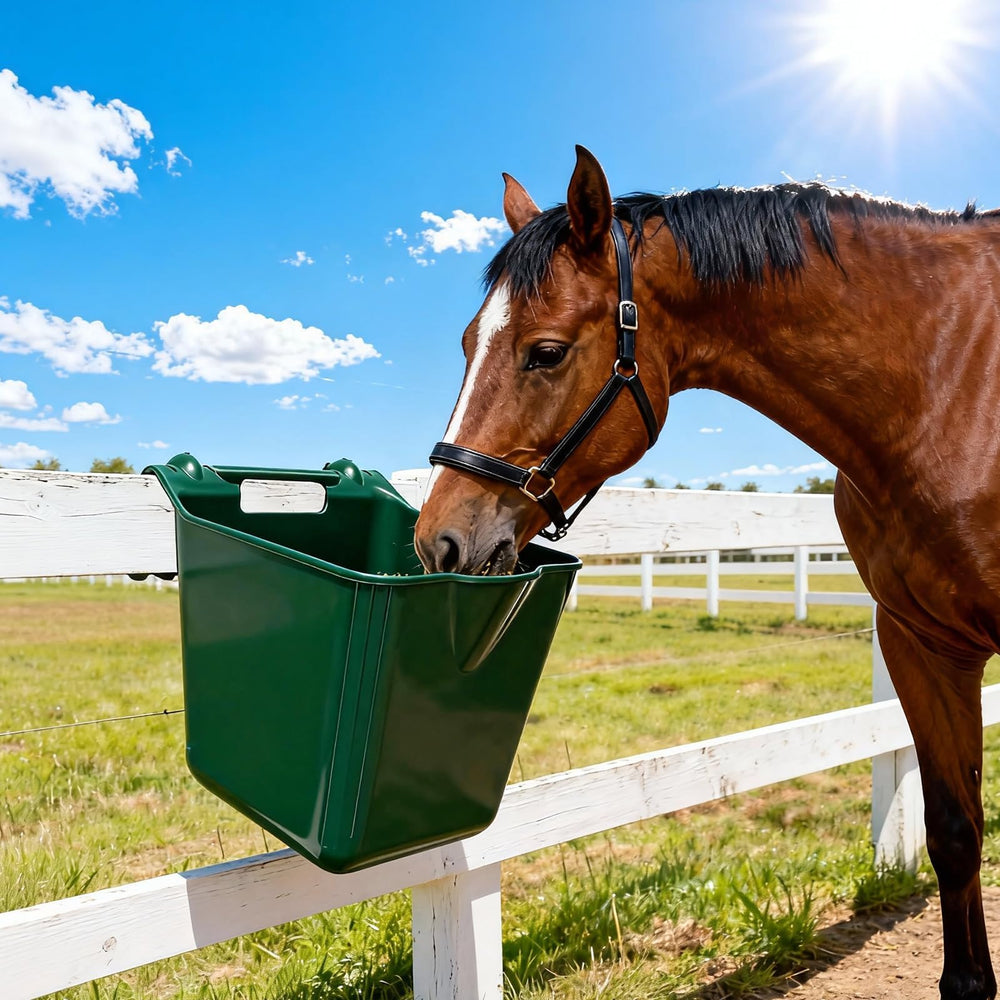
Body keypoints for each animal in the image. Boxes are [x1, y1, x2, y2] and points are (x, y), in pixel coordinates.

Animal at [413, 144, 1000, 1000]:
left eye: (546, 352)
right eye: (464, 344)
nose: (439, 542)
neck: (946, 382)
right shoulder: (920, 643)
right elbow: (954, 833)